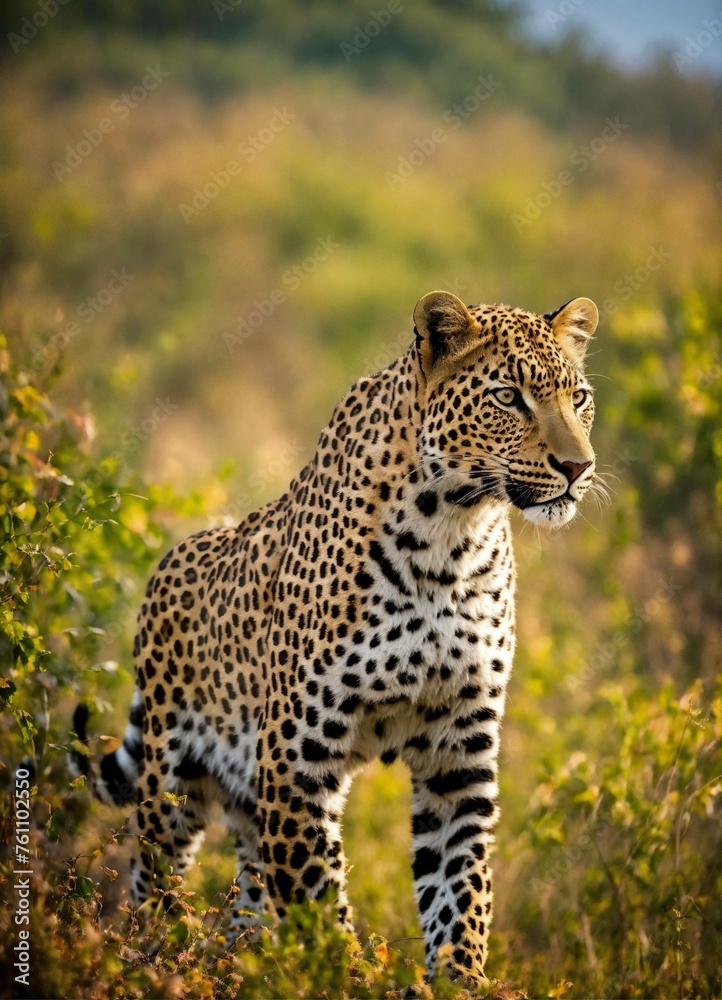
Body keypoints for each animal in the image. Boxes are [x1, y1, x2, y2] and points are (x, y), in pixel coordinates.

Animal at [70, 289, 601, 985]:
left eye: (580, 397)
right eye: (509, 397)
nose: (577, 466)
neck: (452, 538)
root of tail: (169, 562)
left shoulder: (457, 752)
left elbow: (460, 890)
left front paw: (459, 980)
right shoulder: (299, 756)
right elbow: (318, 899)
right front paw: (346, 975)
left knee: (249, 898)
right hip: (173, 780)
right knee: (150, 880)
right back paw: (152, 959)